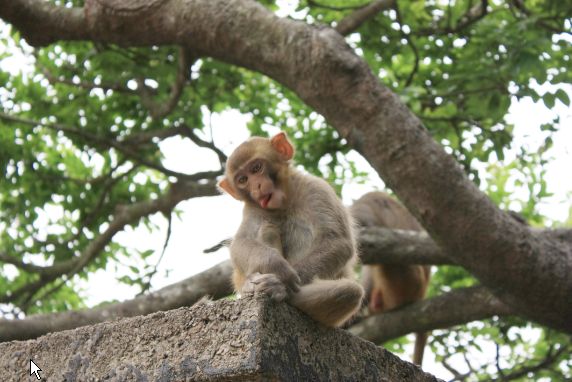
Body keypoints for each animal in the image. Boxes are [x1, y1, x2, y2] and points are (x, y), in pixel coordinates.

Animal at [217, 133, 364, 326]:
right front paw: (275, 266)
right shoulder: (252, 209)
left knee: (349, 291)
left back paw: (281, 292)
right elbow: (240, 243)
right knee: (267, 228)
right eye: (243, 180)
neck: (283, 205)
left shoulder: (316, 189)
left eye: (256, 168)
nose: (256, 186)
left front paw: (281, 282)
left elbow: (338, 242)